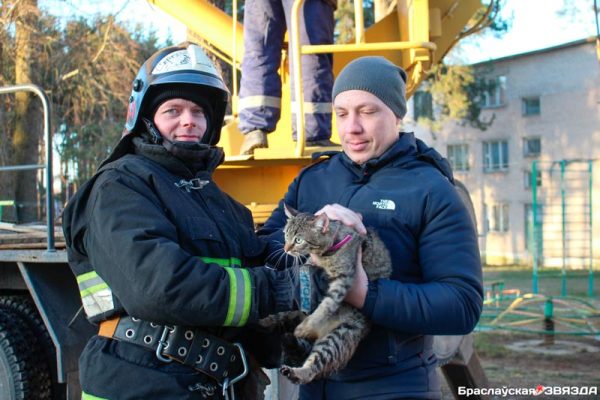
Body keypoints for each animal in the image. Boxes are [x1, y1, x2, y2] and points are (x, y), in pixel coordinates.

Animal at [258, 206, 392, 384]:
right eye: (286, 235)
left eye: (298, 240)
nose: (286, 249)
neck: (326, 254)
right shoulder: (309, 268)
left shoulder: (342, 279)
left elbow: (325, 306)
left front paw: (307, 326)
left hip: (339, 336)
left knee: (314, 368)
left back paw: (298, 371)